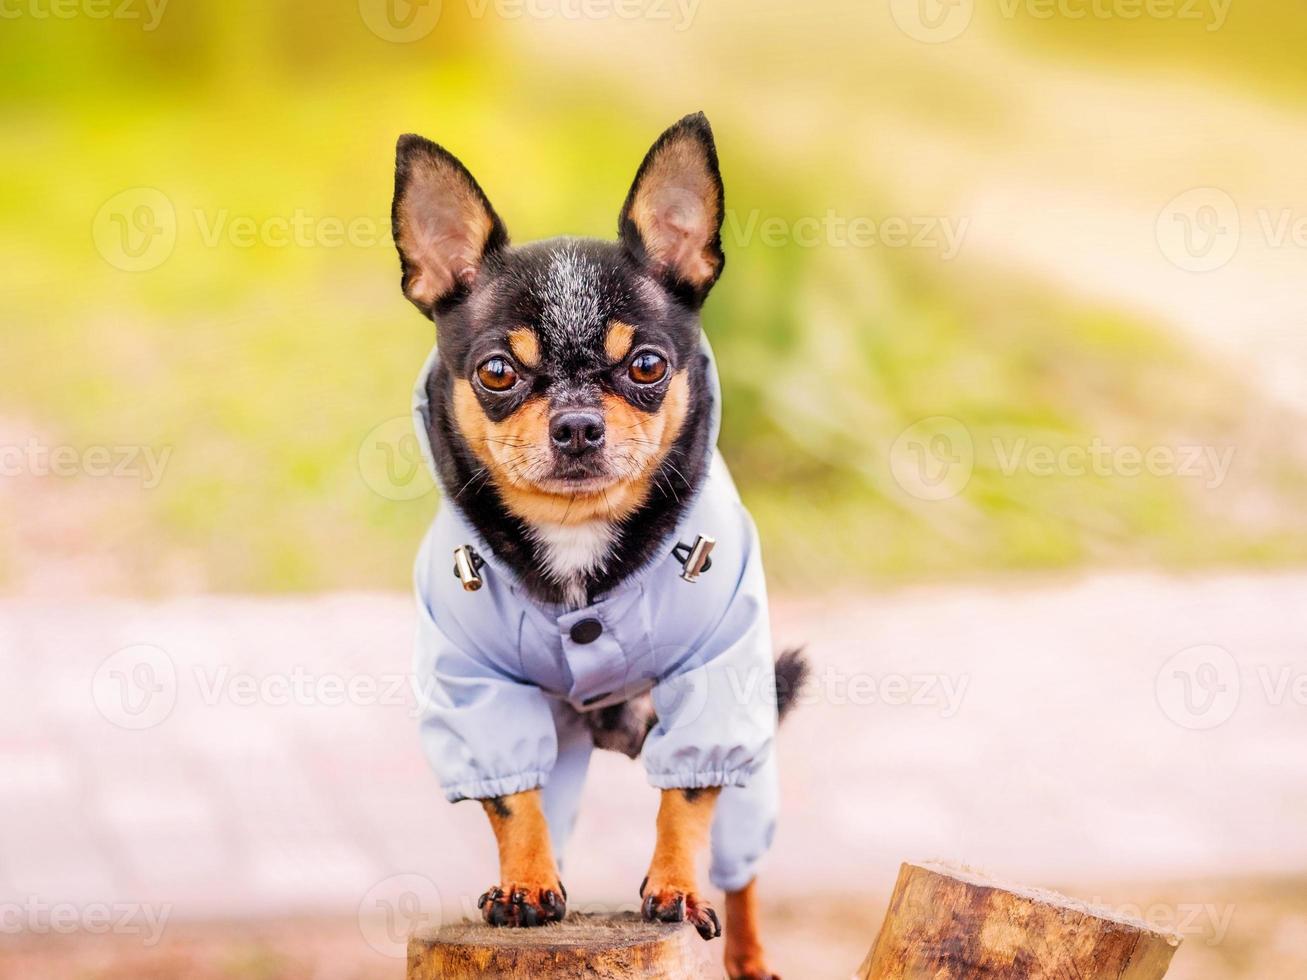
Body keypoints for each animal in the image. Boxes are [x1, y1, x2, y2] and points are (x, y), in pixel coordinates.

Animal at [392, 111, 805, 977]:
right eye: (497, 372)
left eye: (646, 364)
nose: (577, 423)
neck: (576, 536)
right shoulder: (476, 688)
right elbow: (512, 802)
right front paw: (523, 885)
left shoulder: (716, 682)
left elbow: (686, 798)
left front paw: (674, 887)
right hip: (563, 738)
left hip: (751, 761)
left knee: (743, 867)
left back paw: (750, 955)